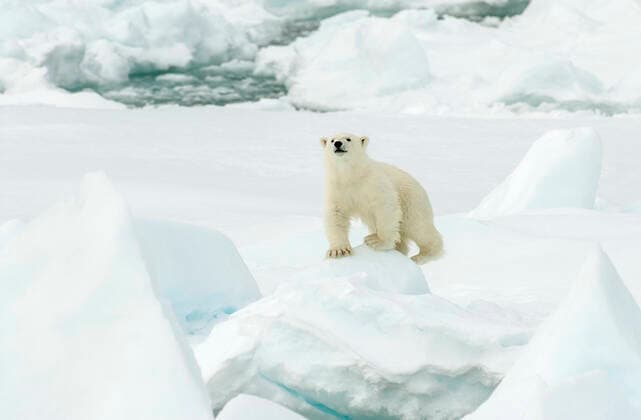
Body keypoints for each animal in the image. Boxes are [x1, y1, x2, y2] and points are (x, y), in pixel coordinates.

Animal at [321, 133, 443, 264]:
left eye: (348, 139)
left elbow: (384, 206)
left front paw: (376, 241)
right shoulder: (338, 189)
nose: (338, 143)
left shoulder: (374, 182)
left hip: (412, 201)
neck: (351, 175)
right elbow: (336, 214)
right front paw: (339, 250)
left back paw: (421, 255)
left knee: (418, 227)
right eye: (332, 140)